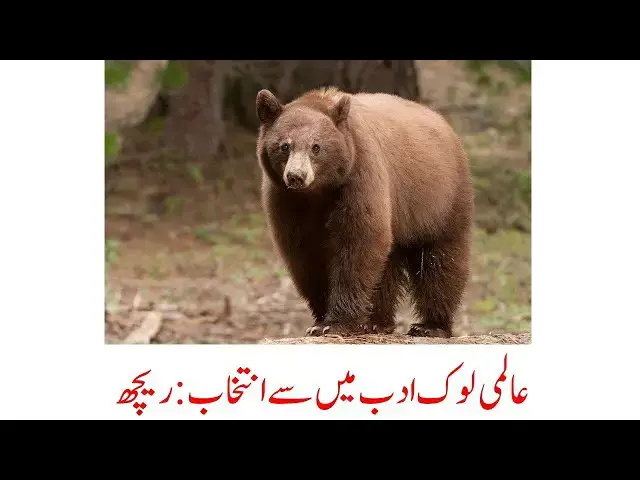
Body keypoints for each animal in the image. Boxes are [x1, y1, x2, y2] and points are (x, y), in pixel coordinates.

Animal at [255, 86, 474, 338]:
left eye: (316, 147)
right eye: (285, 146)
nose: (296, 176)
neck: (318, 193)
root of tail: (443, 122)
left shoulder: (359, 175)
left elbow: (359, 240)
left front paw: (334, 322)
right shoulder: (286, 200)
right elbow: (305, 252)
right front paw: (321, 317)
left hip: (440, 199)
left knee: (440, 259)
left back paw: (431, 325)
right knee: (388, 263)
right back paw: (376, 321)